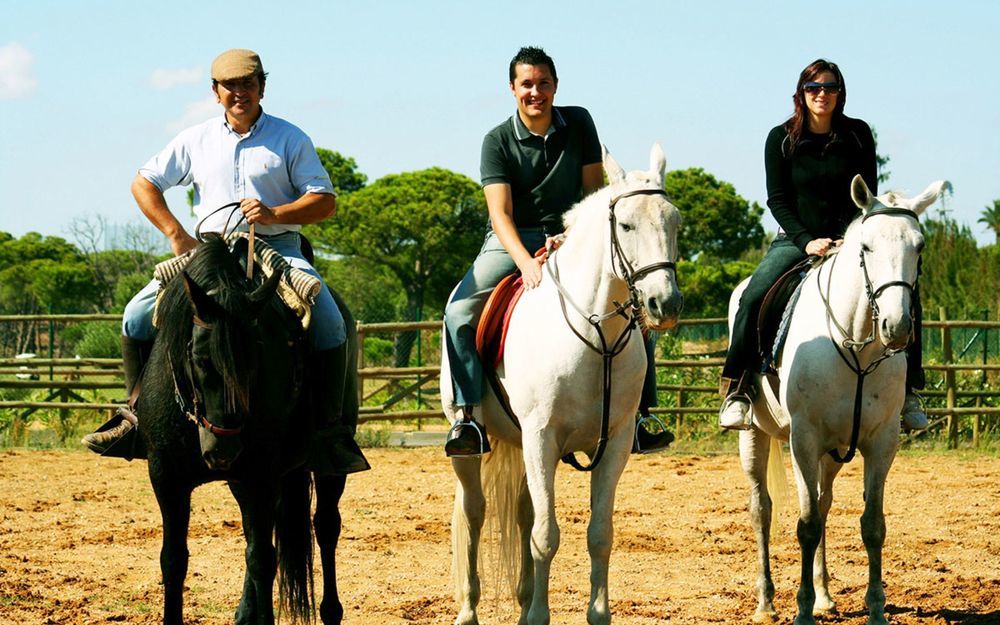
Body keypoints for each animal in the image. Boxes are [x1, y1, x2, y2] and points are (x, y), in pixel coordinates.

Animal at [138, 235, 352, 624]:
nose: (221, 451)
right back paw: (244, 611)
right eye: (198, 358)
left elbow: (262, 559)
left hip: (324, 471)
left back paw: (330, 611)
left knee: (325, 527)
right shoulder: (166, 475)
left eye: (257, 358)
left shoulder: (259, 475)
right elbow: (173, 560)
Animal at [442, 146, 684, 624]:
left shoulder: (614, 443)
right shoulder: (542, 437)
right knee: (475, 513)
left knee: (522, 512)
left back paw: (520, 601)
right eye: (625, 225)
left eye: (674, 222)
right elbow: (545, 537)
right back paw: (469, 610)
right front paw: (539, 616)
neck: (596, 334)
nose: (664, 304)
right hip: (479, 446)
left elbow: (599, 534)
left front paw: (596, 614)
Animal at [740, 174, 948, 624]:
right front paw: (801, 611)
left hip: (833, 451)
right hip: (755, 436)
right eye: (866, 247)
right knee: (763, 509)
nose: (897, 326)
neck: (855, 346)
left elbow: (872, 525)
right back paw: (766, 601)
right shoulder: (803, 440)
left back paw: (824, 596)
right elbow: (805, 525)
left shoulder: (882, 441)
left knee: (823, 503)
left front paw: (876, 610)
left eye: (920, 246)